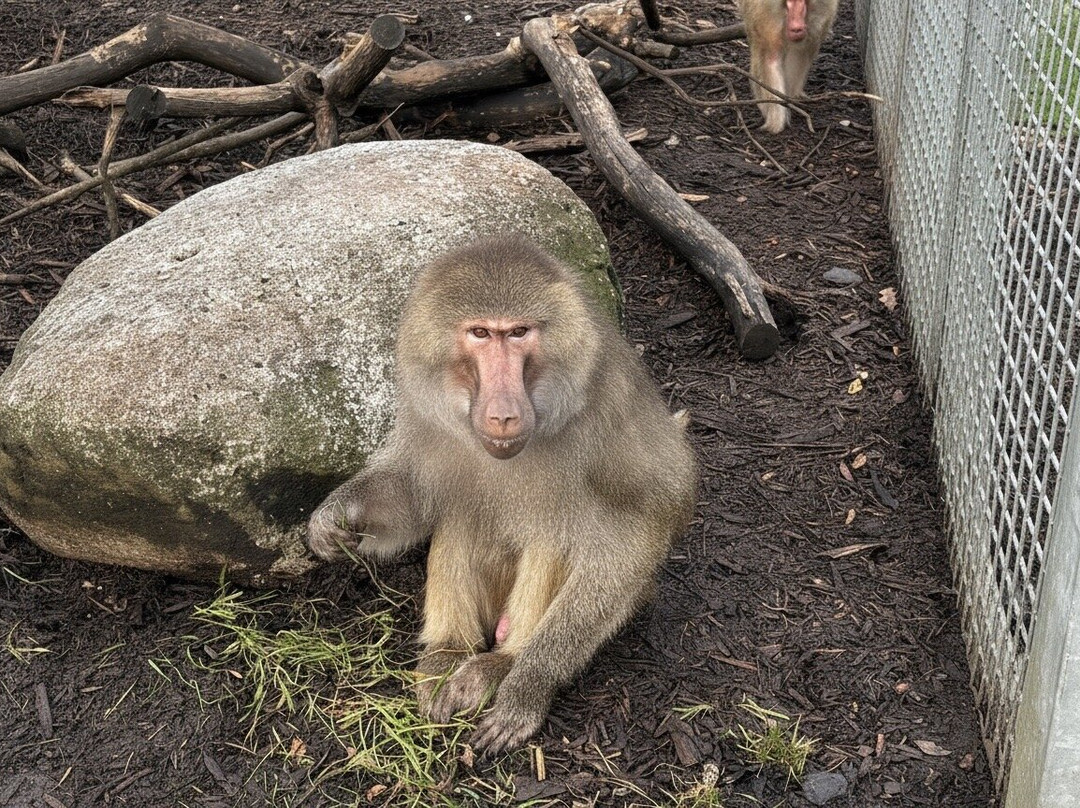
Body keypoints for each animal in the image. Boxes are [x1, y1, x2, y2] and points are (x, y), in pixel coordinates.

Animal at [306, 234, 697, 754]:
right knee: (463, 513)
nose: (503, 414)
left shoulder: (606, 417)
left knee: (555, 536)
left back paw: (501, 664)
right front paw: (335, 516)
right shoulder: (425, 414)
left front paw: (528, 686)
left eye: (518, 333)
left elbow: (634, 538)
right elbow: (416, 496)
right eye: (479, 333)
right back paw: (449, 652)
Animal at [738, 0, 839, 133]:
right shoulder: (767, 20)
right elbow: (771, 60)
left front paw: (789, 102)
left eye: (802, 2)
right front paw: (775, 123)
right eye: (790, 2)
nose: (796, 27)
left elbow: (798, 54)